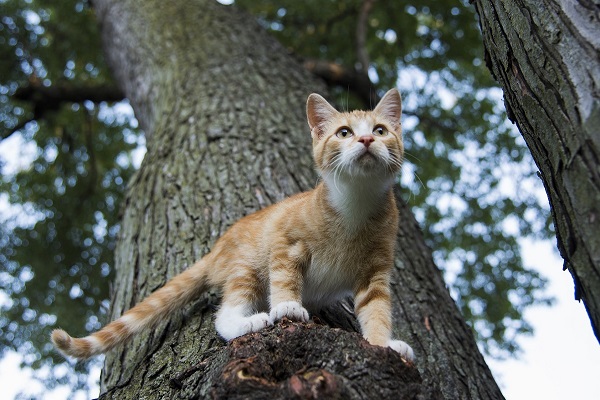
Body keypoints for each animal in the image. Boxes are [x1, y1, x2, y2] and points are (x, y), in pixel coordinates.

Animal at [51, 88, 414, 362]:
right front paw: (287, 305)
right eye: (344, 133)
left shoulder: (375, 271)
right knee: (225, 314)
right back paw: (247, 323)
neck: (354, 205)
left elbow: (376, 309)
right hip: (246, 267)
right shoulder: (284, 241)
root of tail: (217, 248)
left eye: (380, 130)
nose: (366, 139)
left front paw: (383, 344)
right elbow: (284, 277)